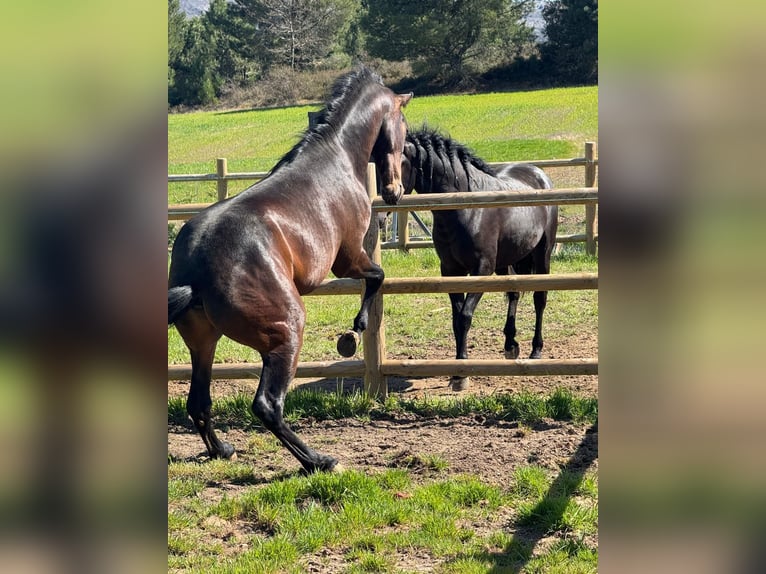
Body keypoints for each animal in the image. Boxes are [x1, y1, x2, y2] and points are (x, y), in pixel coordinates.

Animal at [168, 66, 412, 472]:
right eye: (403, 125)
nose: (395, 191)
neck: (337, 158)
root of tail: (195, 272)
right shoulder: (348, 257)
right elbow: (377, 277)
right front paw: (354, 333)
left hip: (204, 342)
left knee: (199, 403)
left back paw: (223, 450)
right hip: (286, 331)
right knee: (267, 405)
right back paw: (318, 461)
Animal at [401, 127, 557, 391]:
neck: (465, 207)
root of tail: (540, 174)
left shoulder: (481, 270)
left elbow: (464, 317)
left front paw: (461, 374)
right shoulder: (450, 271)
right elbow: (456, 319)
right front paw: (457, 371)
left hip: (542, 254)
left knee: (540, 298)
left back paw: (536, 350)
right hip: (506, 261)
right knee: (514, 294)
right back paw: (510, 345)